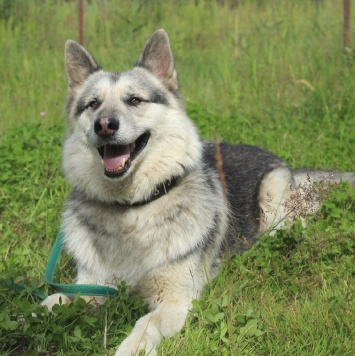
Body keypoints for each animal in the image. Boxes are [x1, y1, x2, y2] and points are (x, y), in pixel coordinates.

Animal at [41, 30, 355, 356]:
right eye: (93, 104)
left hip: (273, 211)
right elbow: (51, 302)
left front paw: (130, 348)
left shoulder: (175, 300)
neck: (131, 206)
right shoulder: (89, 285)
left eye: (134, 100)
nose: (103, 125)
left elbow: (145, 324)